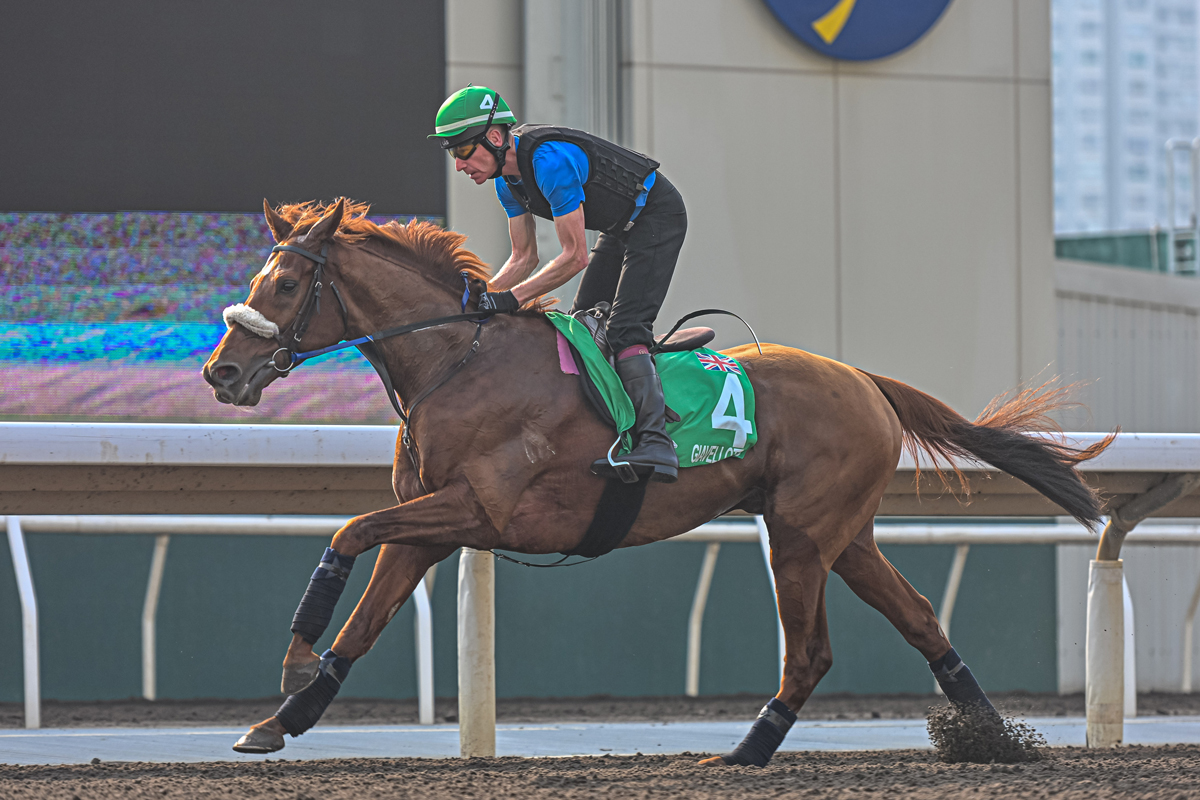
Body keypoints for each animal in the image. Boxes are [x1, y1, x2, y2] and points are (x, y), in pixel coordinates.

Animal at [204, 199, 1104, 762]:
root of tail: (865, 380)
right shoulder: (428, 522)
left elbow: (344, 534)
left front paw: (292, 658)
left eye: (286, 284)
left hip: (801, 536)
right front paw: (278, 721)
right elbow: (361, 625)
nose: (222, 372)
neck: (458, 360)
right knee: (919, 618)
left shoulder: (473, 509)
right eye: (256, 280)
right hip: (844, 534)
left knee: (811, 653)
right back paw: (995, 742)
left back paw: (743, 754)